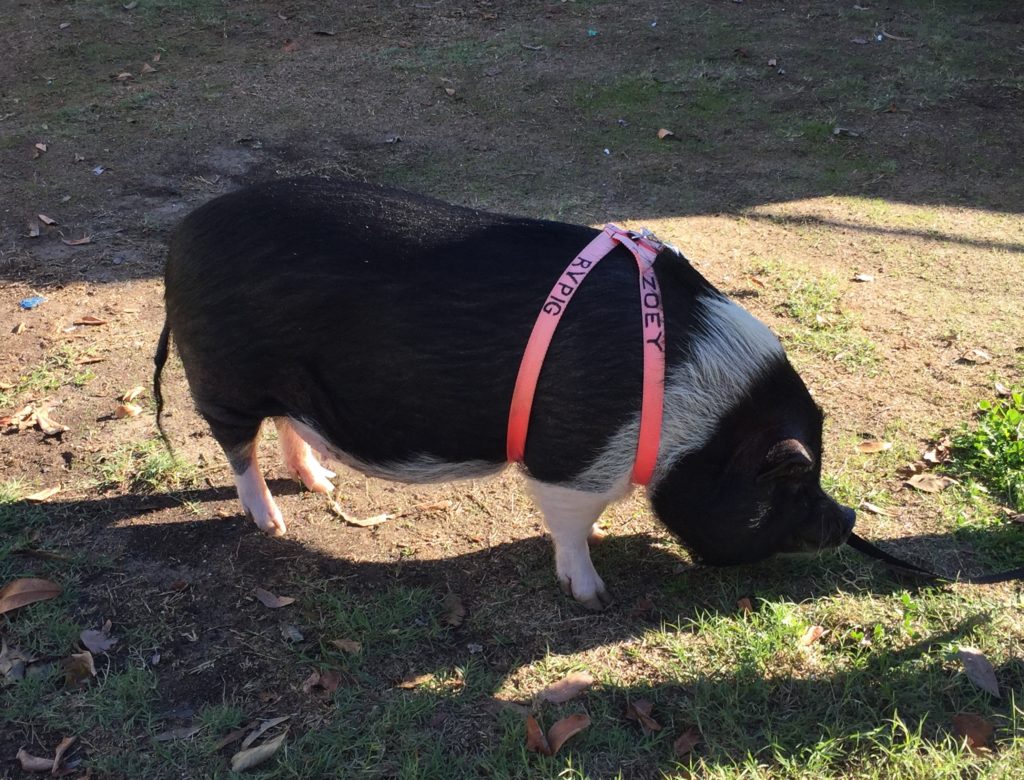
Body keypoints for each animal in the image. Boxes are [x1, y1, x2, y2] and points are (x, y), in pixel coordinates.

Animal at [153, 176, 856, 605]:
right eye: (793, 484)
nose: (847, 519)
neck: (692, 410)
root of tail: (178, 238)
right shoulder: (572, 459)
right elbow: (570, 526)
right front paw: (594, 594)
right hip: (222, 376)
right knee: (237, 449)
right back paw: (271, 523)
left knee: (286, 424)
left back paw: (324, 485)